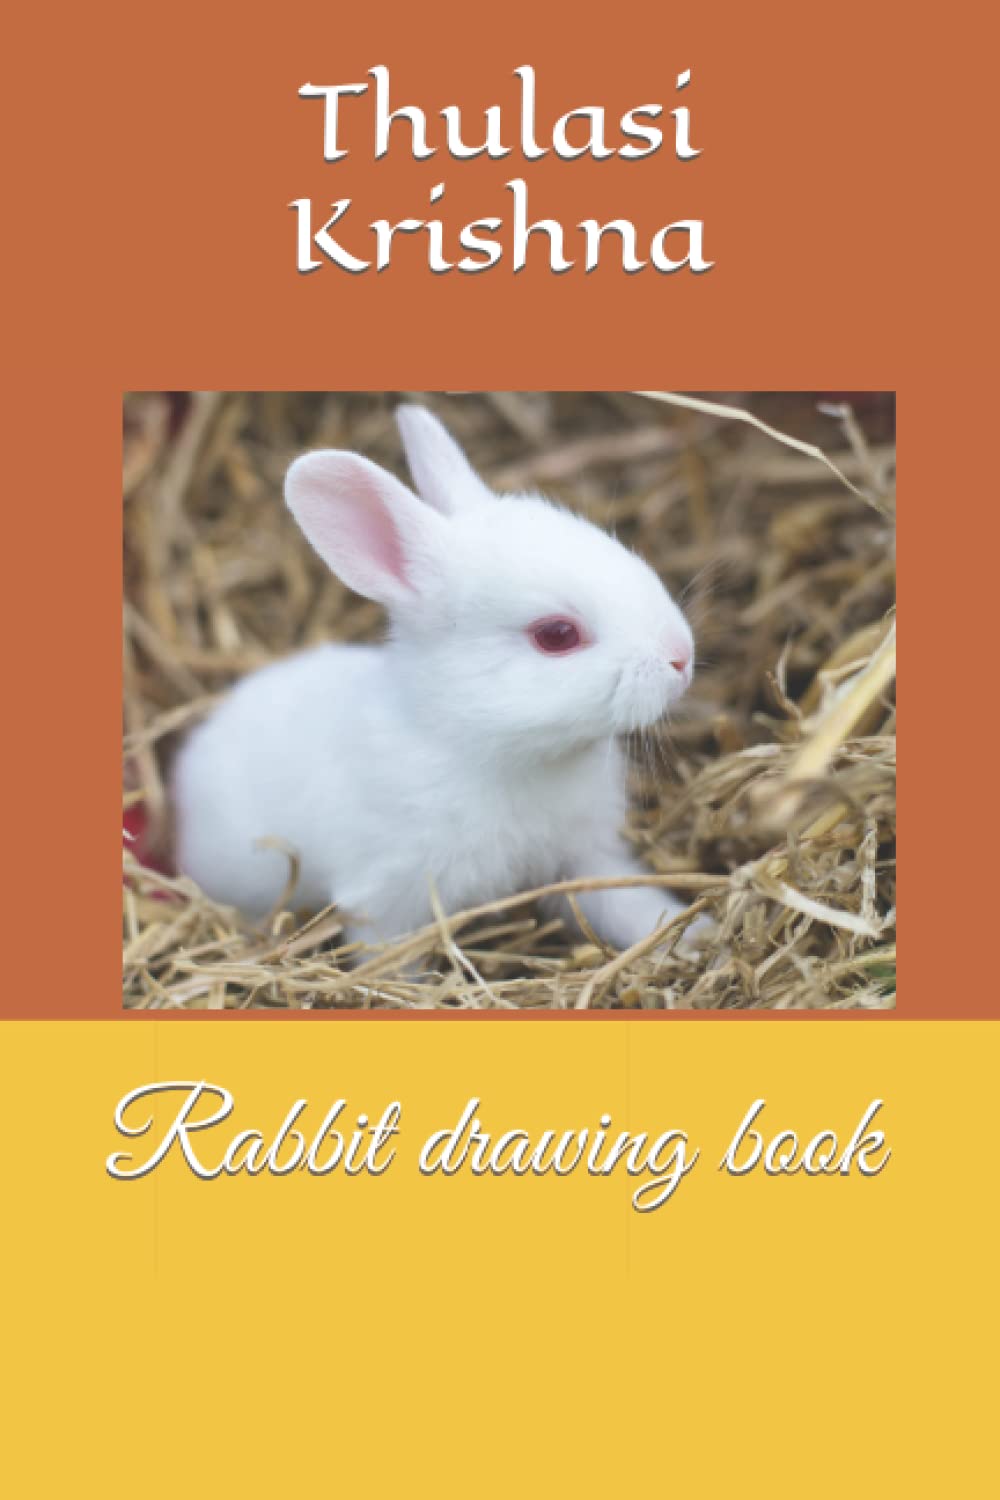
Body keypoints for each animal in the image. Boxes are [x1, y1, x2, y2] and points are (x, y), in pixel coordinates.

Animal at [172, 404, 697, 953]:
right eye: (556, 635)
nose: (681, 657)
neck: (486, 749)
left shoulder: (586, 857)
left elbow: (629, 904)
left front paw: (695, 934)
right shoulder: (386, 900)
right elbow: (391, 956)